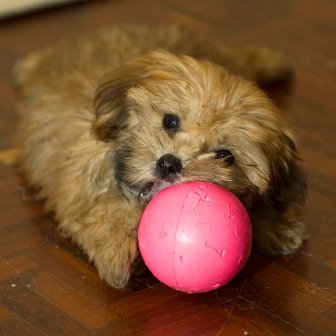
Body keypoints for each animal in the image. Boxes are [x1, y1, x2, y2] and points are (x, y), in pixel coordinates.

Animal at [15, 25, 308, 288]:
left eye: (225, 156)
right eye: (170, 120)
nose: (169, 164)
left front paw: (273, 226)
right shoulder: (79, 188)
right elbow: (100, 214)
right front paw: (118, 251)